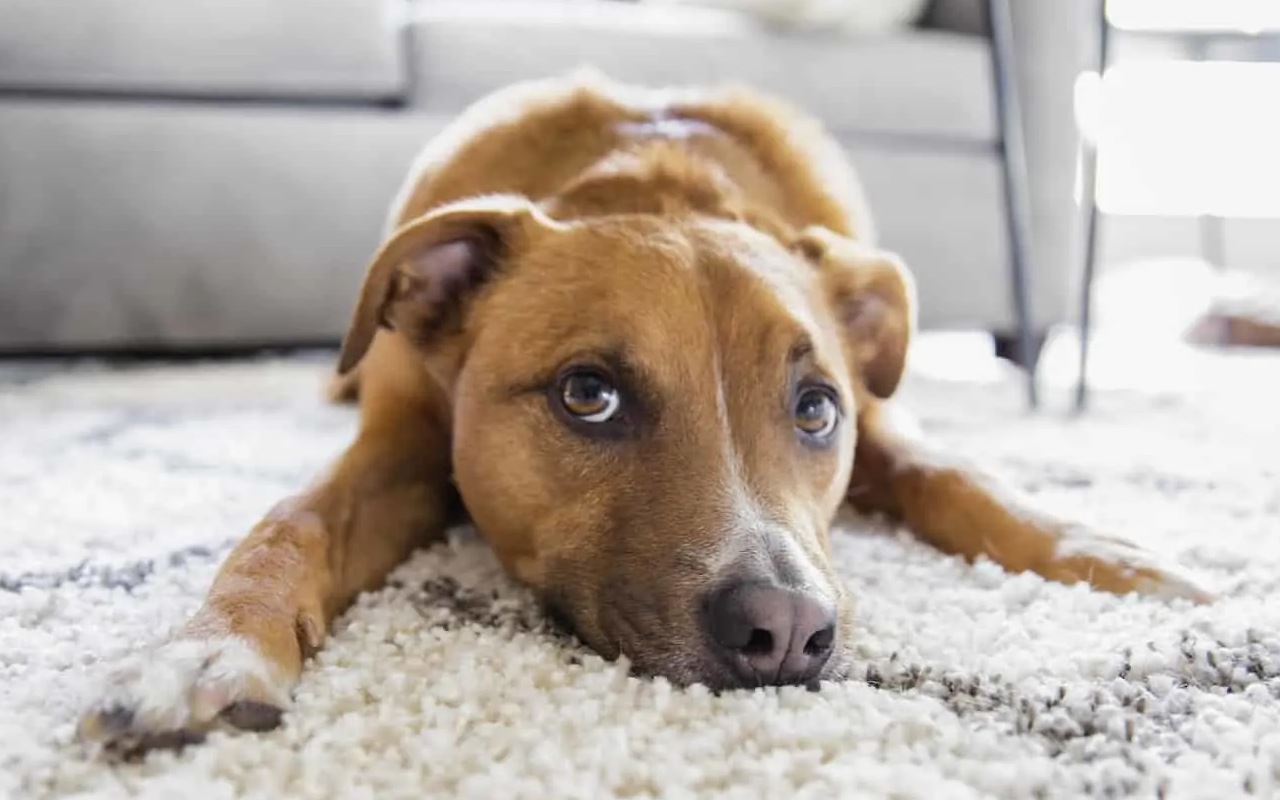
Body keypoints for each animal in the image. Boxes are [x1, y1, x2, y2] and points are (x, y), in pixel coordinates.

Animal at [77, 73, 1208, 752]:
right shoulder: (398, 443)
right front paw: (208, 649)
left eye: (815, 408)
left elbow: (958, 473)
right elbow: (290, 522)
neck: (657, 188)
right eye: (588, 394)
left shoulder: (884, 424)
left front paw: (1104, 553)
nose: (787, 632)